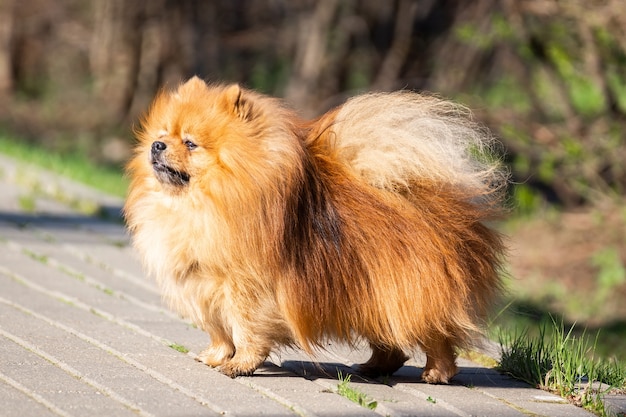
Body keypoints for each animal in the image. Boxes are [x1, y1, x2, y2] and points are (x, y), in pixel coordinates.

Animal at [123, 76, 508, 382]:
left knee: (436, 337)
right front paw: (215, 356)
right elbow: (220, 331)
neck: (200, 204)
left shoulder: (246, 288)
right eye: (163, 135)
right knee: (393, 343)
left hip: (408, 295)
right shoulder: (203, 287)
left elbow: (246, 331)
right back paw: (373, 367)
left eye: (190, 143)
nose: (157, 146)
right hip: (379, 297)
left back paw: (437, 373)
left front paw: (240, 365)